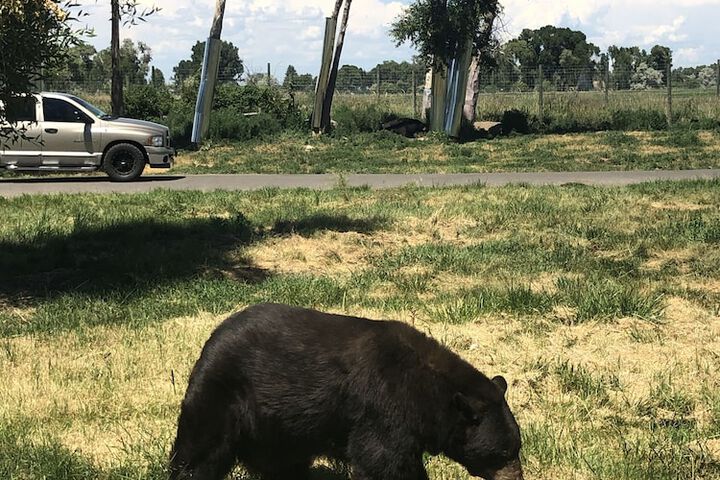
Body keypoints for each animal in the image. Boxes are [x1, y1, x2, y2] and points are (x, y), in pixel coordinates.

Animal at [169, 303, 523, 480]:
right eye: (503, 453)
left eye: (516, 448)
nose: (517, 478)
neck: (427, 391)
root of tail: (214, 336)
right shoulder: (384, 406)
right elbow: (382, 460)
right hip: (225, 391)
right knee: (199, 452)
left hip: (280, 428)